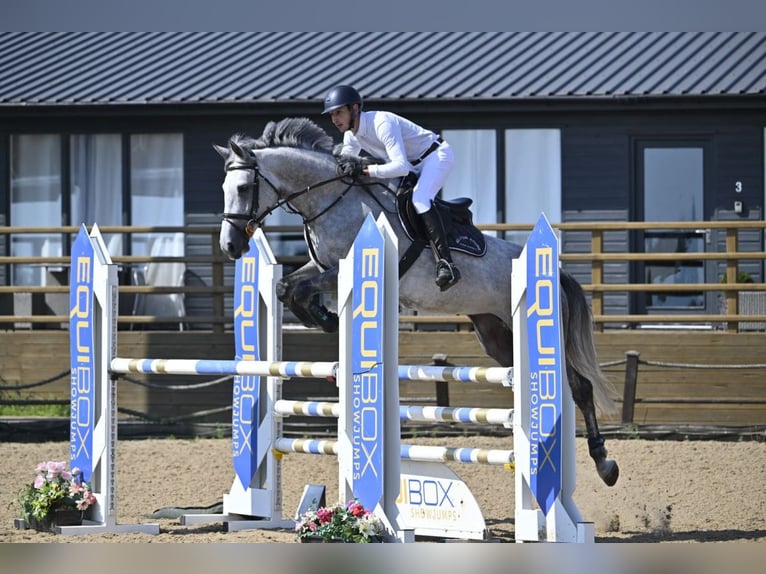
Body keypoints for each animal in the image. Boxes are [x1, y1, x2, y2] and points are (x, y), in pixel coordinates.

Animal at [213, 119, 620, 488]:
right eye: (224, 188)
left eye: (244, 187)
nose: (230, 246)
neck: (329, 202)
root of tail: (554, 272)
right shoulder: (321, 267)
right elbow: (287, 287)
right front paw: (324, 318)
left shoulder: (341, 270)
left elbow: (298, 291)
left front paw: (327, 318)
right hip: (496, 335)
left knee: (580, 387)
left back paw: (604, 463)